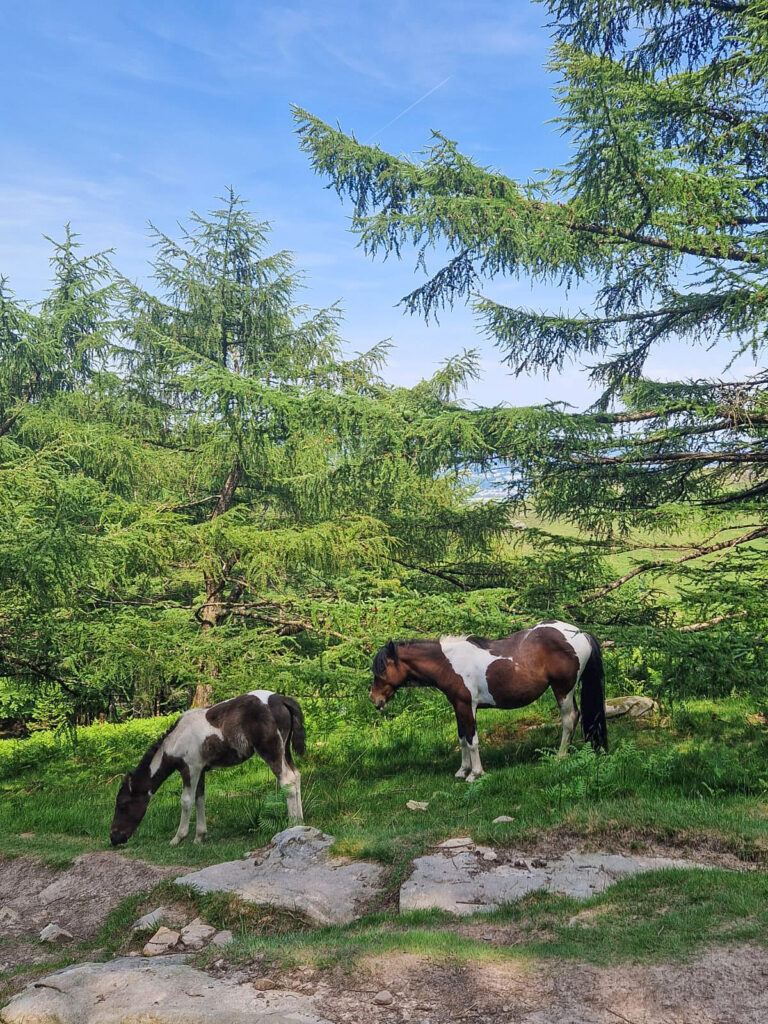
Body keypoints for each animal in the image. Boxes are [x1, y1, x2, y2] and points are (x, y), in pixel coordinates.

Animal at [111, 688, 303, 847]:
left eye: (122, 804)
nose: (114, 838)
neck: (176, 740)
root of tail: (281, 699)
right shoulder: (201, 770)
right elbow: (200, 799)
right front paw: (199, 837)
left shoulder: (190, 768)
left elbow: (186, 801)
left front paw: (177, 838)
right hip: (285, 749)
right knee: (296, 776)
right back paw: (301, 820)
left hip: (271, 750)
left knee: (287, 780)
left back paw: (292, 824)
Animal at [370, 618, 606, 778]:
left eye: (381, 669)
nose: (374, 699)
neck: (449, 663)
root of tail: (580, 633)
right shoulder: (458, 707)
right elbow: (462, 739)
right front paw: (462, 771)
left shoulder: (468, 706)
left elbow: (472, 740)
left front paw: (475, 773)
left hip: (563, 690)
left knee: (569, 719)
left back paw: (560, 757)